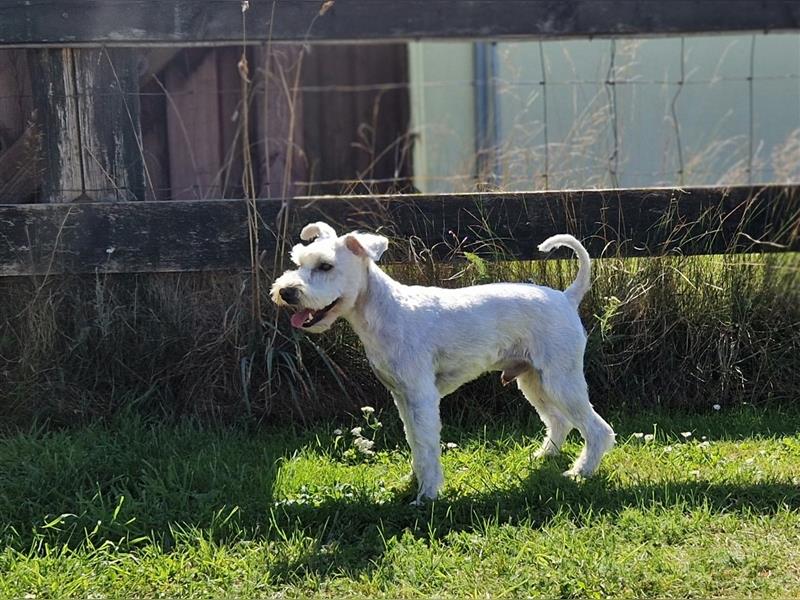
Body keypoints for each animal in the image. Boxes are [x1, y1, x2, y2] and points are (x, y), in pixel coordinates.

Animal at [272, 221, 616, 502]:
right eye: (298, 262)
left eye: (326, 266)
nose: (286, 292)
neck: (386, 311)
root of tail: (566, 297)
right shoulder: (403, 398)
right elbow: (415, 442)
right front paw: (414, 480)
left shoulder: (420, 396)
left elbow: (426, 445)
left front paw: (427, 495)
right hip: (534, 380)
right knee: (560, 422)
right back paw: (544, 456)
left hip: (561, 380)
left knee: (597, 430)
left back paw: (580, 473)